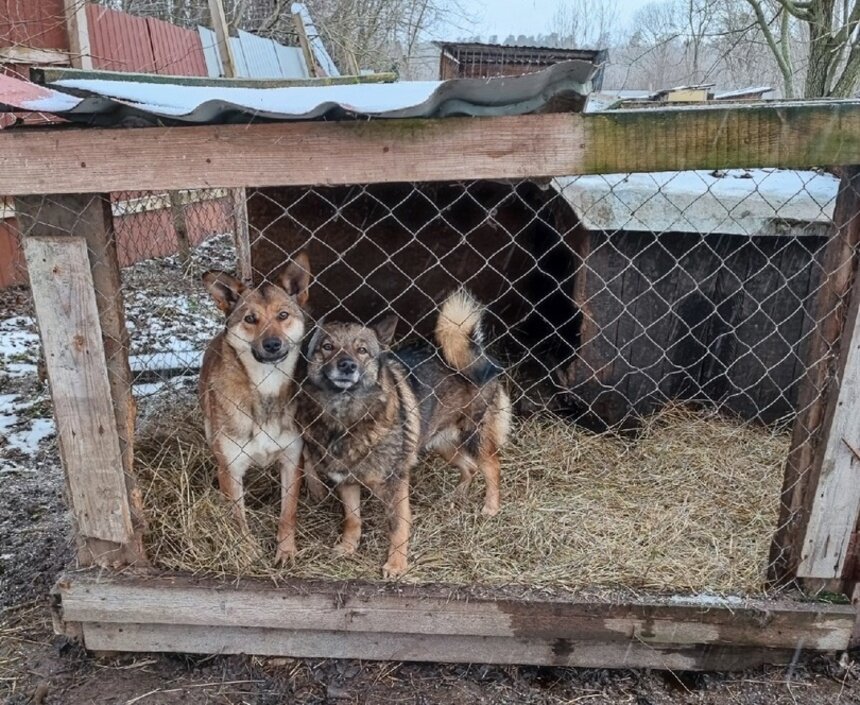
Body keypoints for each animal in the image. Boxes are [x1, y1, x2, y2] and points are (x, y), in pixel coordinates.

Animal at [298, 288, 510, 576]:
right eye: (327, 347)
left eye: (362, 351)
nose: (347, 365)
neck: (347, 417)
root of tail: (477, 353)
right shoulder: (347, 482)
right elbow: (352, 519)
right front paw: (348, 546)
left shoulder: (396, 482)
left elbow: (399, 526)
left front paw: (396, 564)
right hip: (440, 443)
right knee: (469, 466)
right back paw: (456, 496)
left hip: (475, 436)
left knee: (491, 466)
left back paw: (490, 507)